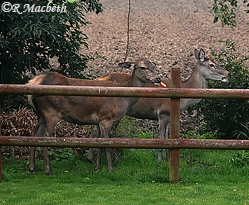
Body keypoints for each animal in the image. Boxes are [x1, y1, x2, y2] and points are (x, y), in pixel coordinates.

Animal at [27, 58, 162, 175]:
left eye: (154, 66)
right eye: (142, 67)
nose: (158, 78)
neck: (125, 100)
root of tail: (33, 82)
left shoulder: (98, 120)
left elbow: (99, 144)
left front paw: (98, 168)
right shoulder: (106, 118)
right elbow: (106, 144)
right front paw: (110, 169)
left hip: (41, 115)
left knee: (34, 135)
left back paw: (32, 167)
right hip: (51, 113)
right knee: (43, 138)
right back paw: (48, 170)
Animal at [95, 48, 230, 162]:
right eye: (211, 64)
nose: (228, 73)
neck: (184, 98)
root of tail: (97, 79)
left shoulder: (170, 116)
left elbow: (168, 137)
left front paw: (168, 159)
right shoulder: (163, 113)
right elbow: (162, 138)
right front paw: (160, 160)